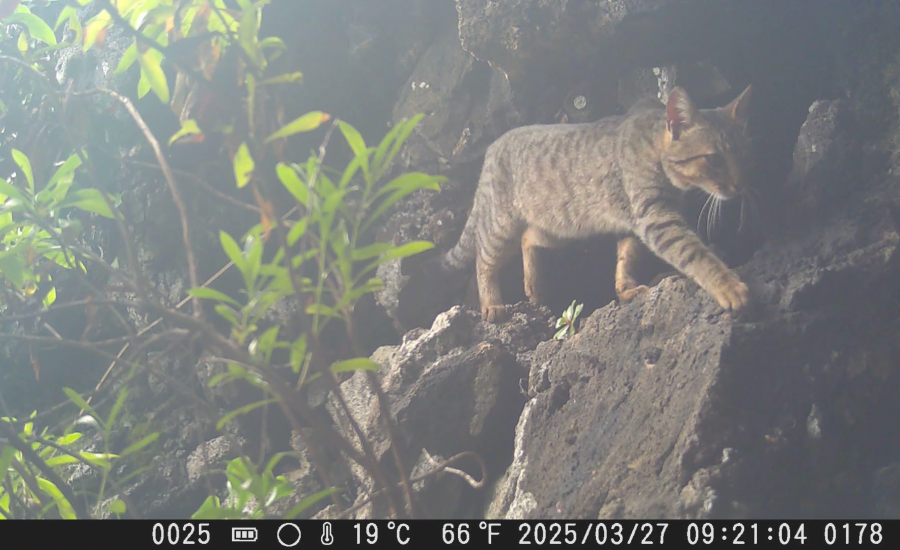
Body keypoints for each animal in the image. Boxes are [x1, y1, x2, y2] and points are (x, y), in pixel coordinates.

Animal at [438, 85, 754, 323]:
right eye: (714, 159)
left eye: (743, 154)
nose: (741, 186)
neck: (654, 147)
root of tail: (491, 149)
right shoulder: (656, 218)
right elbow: (696, 255)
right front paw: (727, 286)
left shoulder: (633, 223)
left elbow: (627, 258)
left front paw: (625, 288)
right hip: (500, 226)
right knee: (483, 261)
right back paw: (491, 304)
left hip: (558, 228)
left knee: (528, 239)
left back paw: (534, 286)